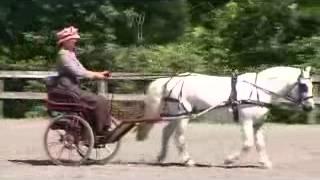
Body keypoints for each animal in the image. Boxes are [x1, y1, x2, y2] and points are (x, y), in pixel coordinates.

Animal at [134, 66, 314, 169]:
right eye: (303, 85)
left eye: (311, 85)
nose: (310, 107)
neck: (259, 90)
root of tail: (172, 79)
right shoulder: (246, 121)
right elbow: (248, 144)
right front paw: (229, 160)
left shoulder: (258, 124)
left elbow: (260, 144)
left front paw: (265, 163)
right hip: (183, 115)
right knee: (179, 138)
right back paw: (188, 161)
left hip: (177, 115)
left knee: (166, 132)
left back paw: (161, 158)